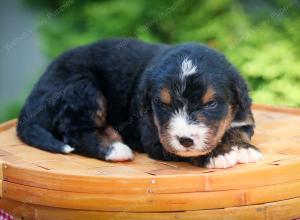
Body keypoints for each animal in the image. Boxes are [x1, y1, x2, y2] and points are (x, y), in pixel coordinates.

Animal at [17, 37, 262, 168]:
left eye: (210, 104)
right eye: (163, 104)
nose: (185, 140)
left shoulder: (243, 118)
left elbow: (237, 131)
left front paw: (244, 149)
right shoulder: (155, 137)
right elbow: (185, 152)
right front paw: (218, 155)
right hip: (83, 87)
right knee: (74, 132)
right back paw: (115, 148)